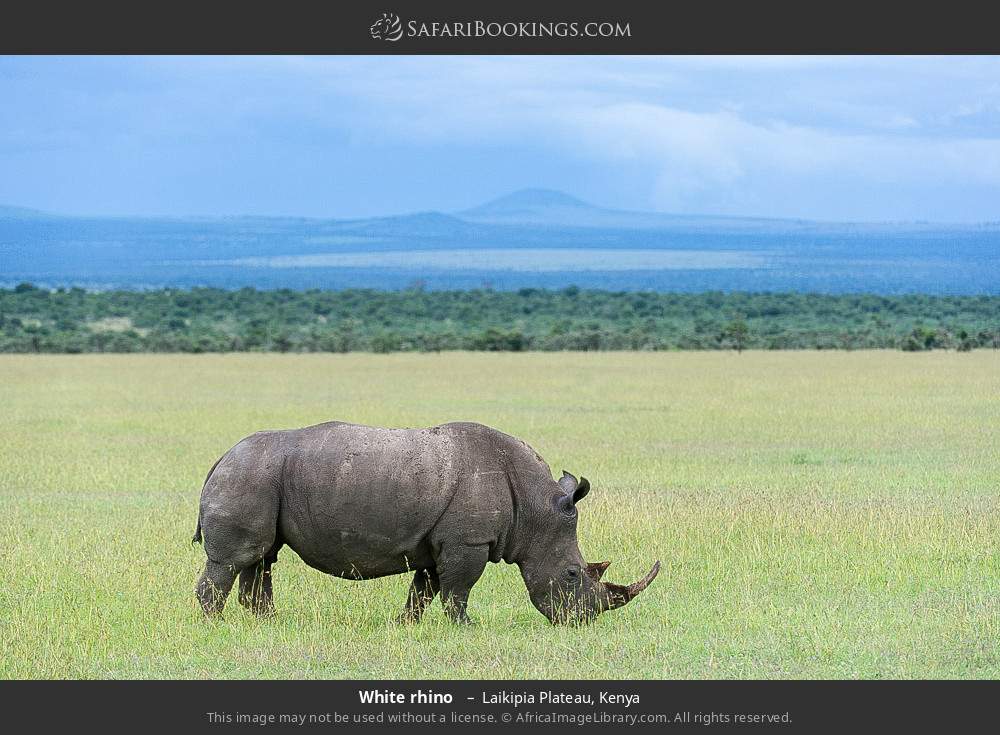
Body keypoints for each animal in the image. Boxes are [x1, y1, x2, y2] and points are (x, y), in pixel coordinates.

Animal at [192, 421, 659, 624]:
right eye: (572, 574)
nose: (583, 621)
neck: (535, 510)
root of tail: (221, 457)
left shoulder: (443, 541)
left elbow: (425, 589)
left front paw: (406, 626)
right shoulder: (469, 542)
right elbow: (457, 590)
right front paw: (466, 629)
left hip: (260, 477)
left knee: (261, 557)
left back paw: (267, 623)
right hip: (249, 476)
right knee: (237, 559)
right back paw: (216, 626)